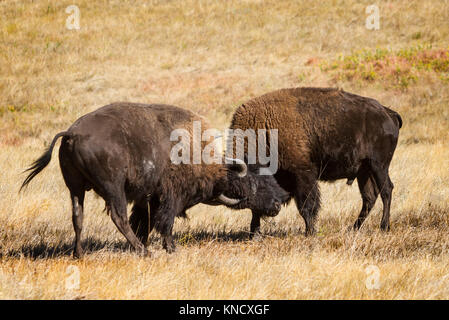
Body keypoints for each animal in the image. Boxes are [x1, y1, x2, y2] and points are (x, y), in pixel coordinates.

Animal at [20, 102, 288, 258]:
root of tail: (72, 133)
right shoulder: (169, 196)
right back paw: (143, 252)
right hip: (113, 187)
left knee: (78, 216)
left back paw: (80, 254)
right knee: (117, 216)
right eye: (257, 180)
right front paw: (171, 248)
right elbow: (164, 222)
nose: (277, 204)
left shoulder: (146, 198)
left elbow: (144, 222)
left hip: (75, 188)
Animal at [229, 87, 400, 235]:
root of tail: (388, 113)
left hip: (379, 166)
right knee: (369, 197)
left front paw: (309, 232)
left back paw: (384, 227)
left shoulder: (303, 175)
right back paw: (354, 228)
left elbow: (307, 205)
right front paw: (254, 232)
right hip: (364, 171)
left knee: (386, 190)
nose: (273, 210)